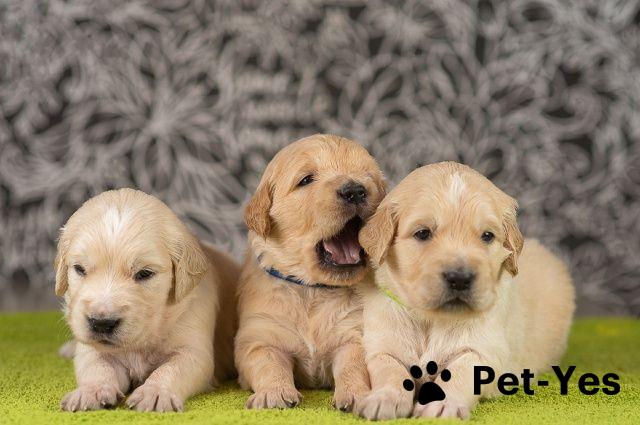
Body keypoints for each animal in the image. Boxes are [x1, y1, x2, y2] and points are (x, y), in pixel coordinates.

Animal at [55, 188, 240, 412]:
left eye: (144, 273)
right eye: (80, 269)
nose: (102, 323)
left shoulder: (193, 348)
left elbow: (172, 368)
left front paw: (155, 393)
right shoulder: (94, 350)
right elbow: (97, 366)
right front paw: (92, 391)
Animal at [235, 134, 386, 411]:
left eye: (367, 176)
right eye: (306, 179)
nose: (355, 190)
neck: (313, 290)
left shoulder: (355, 333)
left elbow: (353, 365)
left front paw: (356, 394)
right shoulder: (259, 336)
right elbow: (268, 364)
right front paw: (274, 393)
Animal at [356, 162, 575, 420]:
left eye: (487, 236)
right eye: (423, 233)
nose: (459, 279)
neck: (431, 320)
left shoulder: (484, 349)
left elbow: (460, 371)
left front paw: (443, 404)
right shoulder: (382, 344)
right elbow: (389, 369)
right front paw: (385, 397)